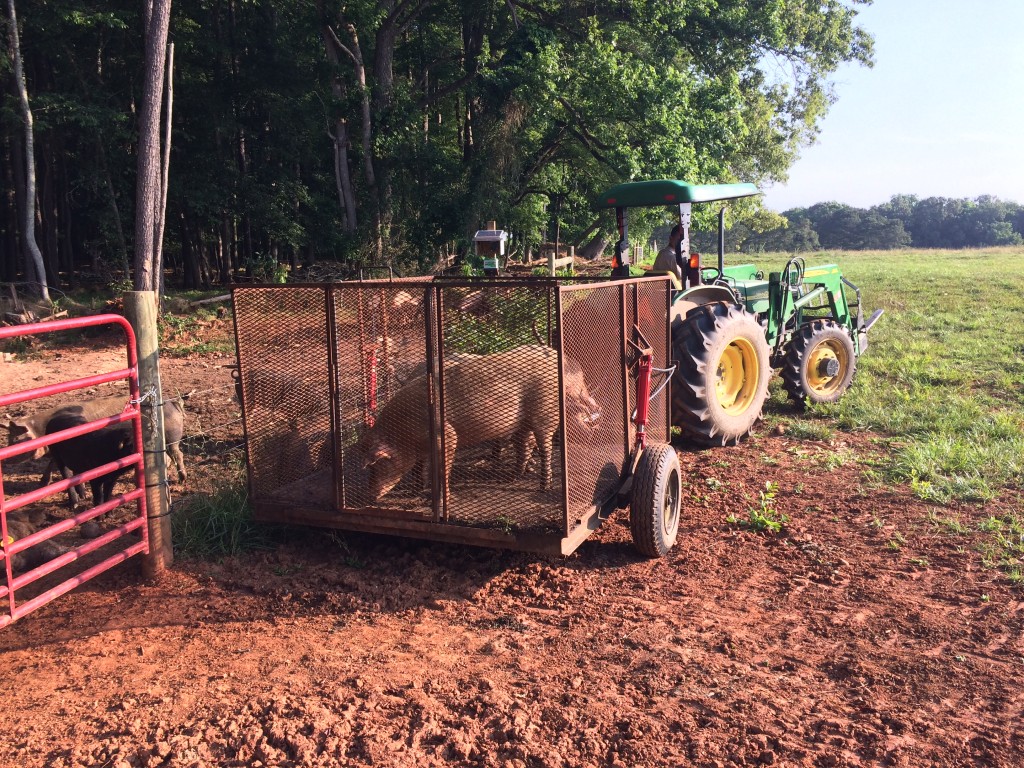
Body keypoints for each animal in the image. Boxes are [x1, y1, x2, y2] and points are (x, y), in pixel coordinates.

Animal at [360, 344, 598, 501]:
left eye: (376, 465)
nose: (369, 495)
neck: (402, 434)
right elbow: (418, 468)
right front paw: (415, 491)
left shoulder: (445, 434)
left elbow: (441, 467)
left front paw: (439, 497)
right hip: (524, 422)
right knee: (523, 445)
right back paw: (514, 476)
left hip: (545, 413)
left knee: (544, 447)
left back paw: (543, 487)